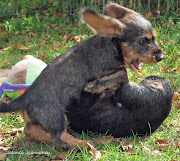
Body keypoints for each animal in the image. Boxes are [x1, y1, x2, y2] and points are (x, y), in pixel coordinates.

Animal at [0, 2, 164, 149]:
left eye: (154, 38)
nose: (161, 57)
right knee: (59, 138)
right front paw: (96, 86)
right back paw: (83, 144)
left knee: (33, 130)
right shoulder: (104, 69)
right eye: (143, 40)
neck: (111, 46)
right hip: (58, 116)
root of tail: (25, 98)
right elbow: (123, 74)